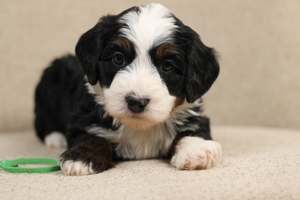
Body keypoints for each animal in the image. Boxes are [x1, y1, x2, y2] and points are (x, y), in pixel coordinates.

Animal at [35, 2, 223, 175]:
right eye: (118, 59)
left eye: (167, 66)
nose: (136, 102)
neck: (140, 128)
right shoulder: (84, 118)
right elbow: (92, 137)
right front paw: (82, 157)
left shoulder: (193, 116)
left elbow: (192, 130)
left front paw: (196, 149)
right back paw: (55, 137)